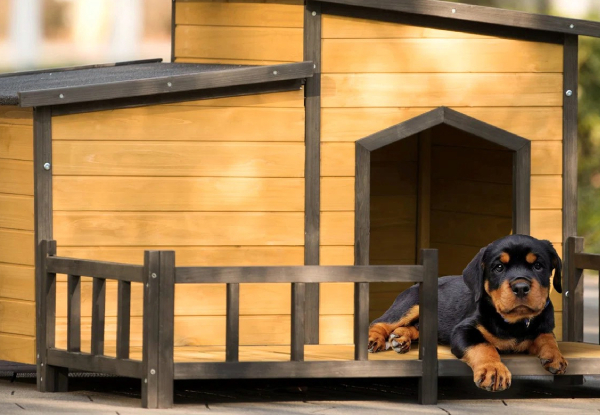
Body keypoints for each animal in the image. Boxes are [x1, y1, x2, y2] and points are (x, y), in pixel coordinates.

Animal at [366, 236, 568, 392]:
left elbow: (547, 336)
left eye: (538, 266)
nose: (520, 287)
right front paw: (494, 371)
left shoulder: (543, 325)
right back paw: (375, 339)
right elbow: (483, 345)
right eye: (499, 268)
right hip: (412, 303)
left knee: (416, 327)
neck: (514, 322)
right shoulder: (464, 329)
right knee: (380, 322)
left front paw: (556, 356)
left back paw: (400, 338)